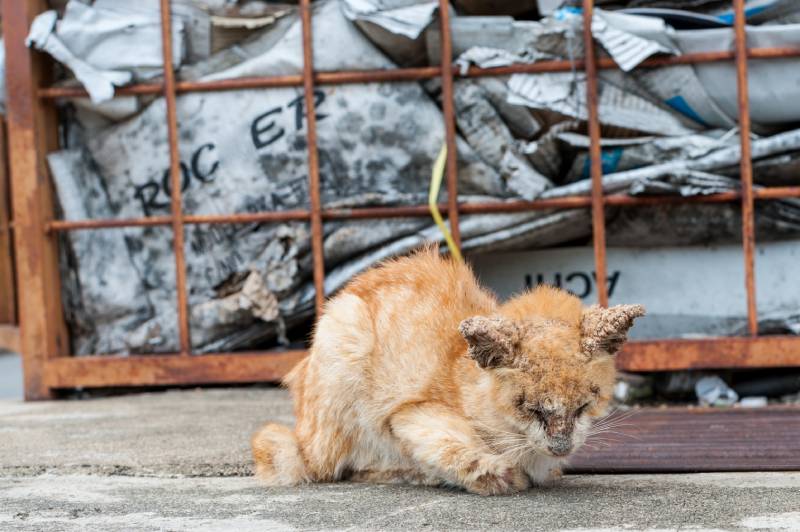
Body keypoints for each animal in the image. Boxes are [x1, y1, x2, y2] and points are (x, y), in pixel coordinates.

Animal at [253, 248, 648, 494]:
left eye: (583, 406)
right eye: (530, 409)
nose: (561, 446)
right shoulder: (409, 417)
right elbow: (460, 452)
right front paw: (499, 476)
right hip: (344, 344)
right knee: (337, 466)